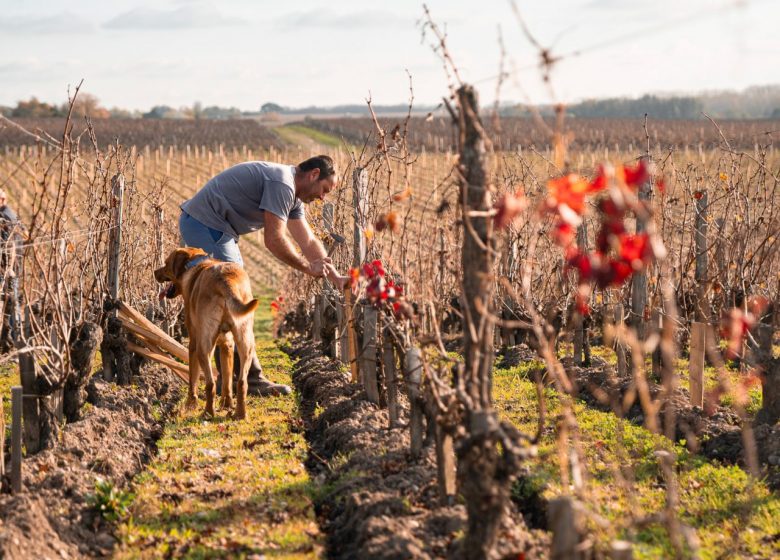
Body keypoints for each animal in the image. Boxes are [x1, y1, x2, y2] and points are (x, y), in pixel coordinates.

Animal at [153, 247, 258, 418]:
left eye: (167, 263)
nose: (155, 272)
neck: (194, 264)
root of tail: (225, 281)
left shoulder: (193, 344)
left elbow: (193, 378)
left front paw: (190, 404)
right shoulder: (227, 345)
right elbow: (227, 380)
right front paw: (226, 404)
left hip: (204, 346)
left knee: (210, 383)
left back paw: (208, 412)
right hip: (245, 341)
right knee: (242, 381)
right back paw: (240, 414)